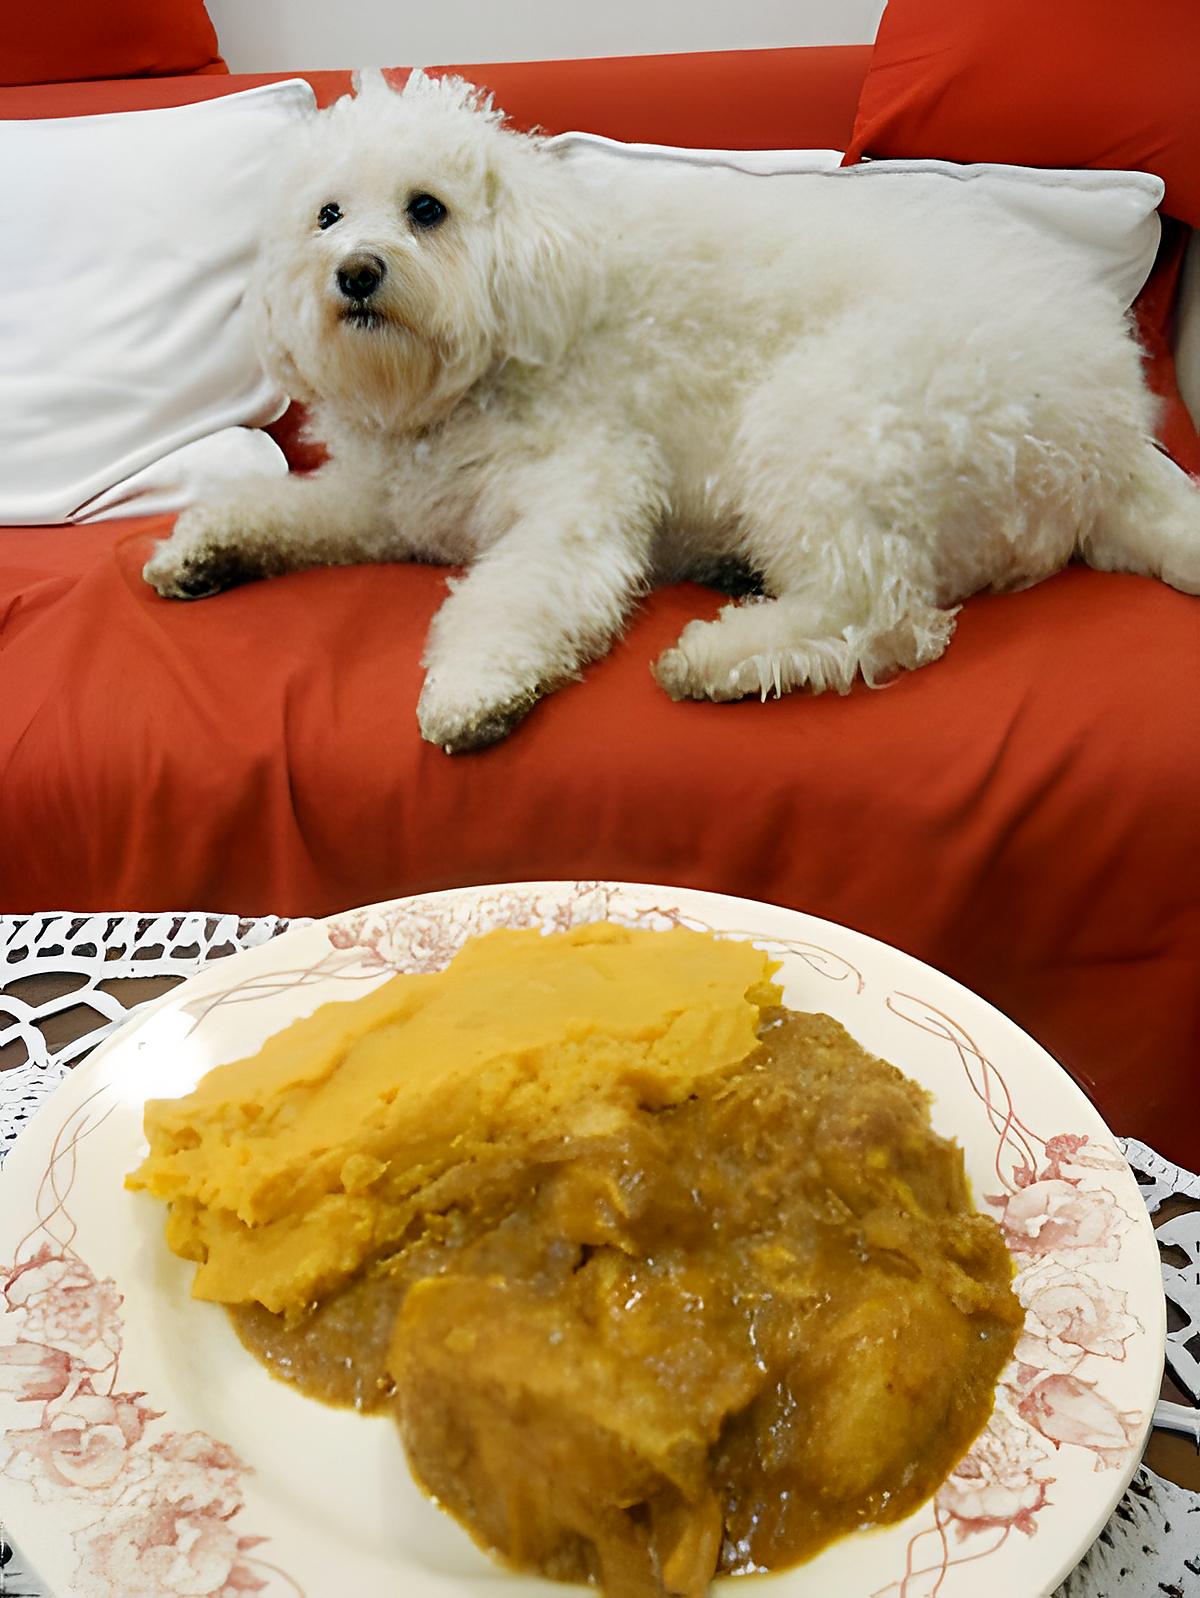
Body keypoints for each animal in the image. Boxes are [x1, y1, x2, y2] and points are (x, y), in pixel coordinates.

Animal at [145, 68, 1195, 754]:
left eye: (427, 209)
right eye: (327, 216)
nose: (356, 272)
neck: (460, 381)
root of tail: (1115, 432)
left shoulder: (582, 498)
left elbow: (511, 595)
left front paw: (475, 692)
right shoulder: (381, 504)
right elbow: (281, 508)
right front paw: (201, 552)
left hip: (830, 416)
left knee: (884, 618)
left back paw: (720, 656)